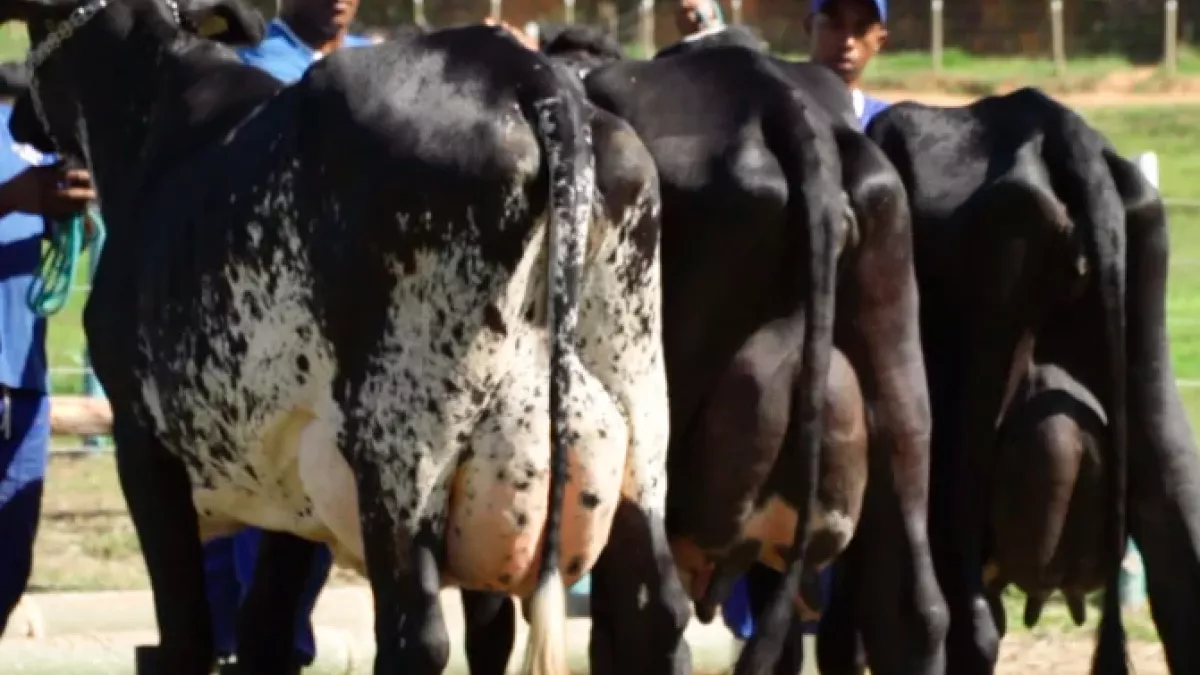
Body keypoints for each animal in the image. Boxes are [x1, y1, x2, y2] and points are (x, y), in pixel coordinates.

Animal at [4, 2, 685, 675]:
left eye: (37, 26)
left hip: (401, 447)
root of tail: (521, 72)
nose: (19, 114)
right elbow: (263, 628)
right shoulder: (291, 465)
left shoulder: (142, 439)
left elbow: (186, 635)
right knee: (658, 609)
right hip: (637, 434)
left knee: (415, 633)